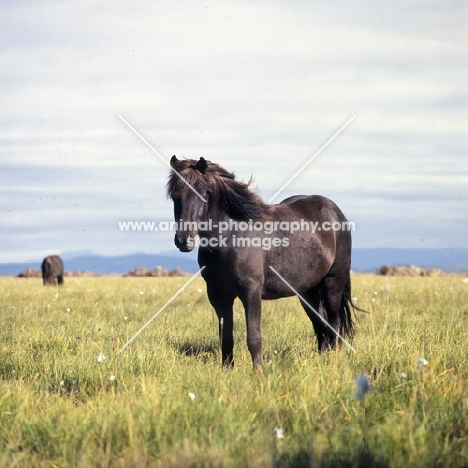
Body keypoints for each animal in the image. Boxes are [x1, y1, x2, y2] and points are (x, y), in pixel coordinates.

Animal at [167, 157, 354, 370]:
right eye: (175, 196)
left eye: (203, 193)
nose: (184, 240)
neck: (231, 237)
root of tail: (336, 212)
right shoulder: (218, 294)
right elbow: (226, 337)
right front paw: (227, 370)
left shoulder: (251, 292)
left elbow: (254, 338)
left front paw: (258, 372)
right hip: (308, 291)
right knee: (320, 324)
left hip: (333, 284)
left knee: (334, 324)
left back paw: (333, 360)